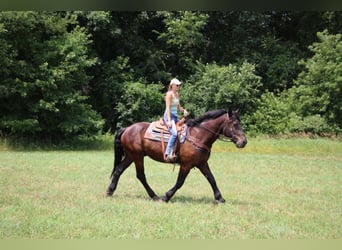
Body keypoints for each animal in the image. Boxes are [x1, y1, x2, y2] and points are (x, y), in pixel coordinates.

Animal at [105, 109, 247, 203]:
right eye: (235, 124)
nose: (244, 141)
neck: (198, 135)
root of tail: (126, 129)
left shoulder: (202, 163)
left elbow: (212, 179)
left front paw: (220, 198)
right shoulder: (186, 165)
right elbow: (180, 182)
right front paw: (166, 196)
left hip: (131, 156)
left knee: (118, 170)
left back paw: (110, 191)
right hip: (137, 156)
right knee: (140, 175)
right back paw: (155, 196)